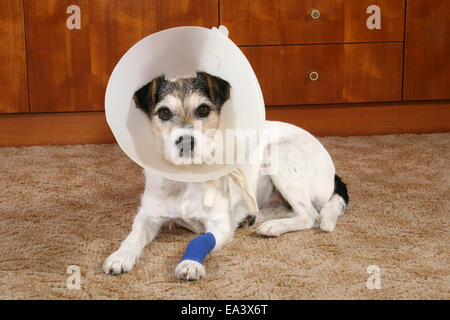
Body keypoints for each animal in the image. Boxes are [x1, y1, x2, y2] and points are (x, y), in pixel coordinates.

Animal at [103, 72, 350, 280]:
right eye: (164, 112)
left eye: (203, 110)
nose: (186, 141)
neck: (186, 179)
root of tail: (333, 172)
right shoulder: (147, 217)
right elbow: (133, 236)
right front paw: (120, 256)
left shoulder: (218, 224)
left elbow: (201, 239)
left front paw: (191, 263)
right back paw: (253, 218)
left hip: (278, 154)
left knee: (309, 215)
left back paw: (273, 227)